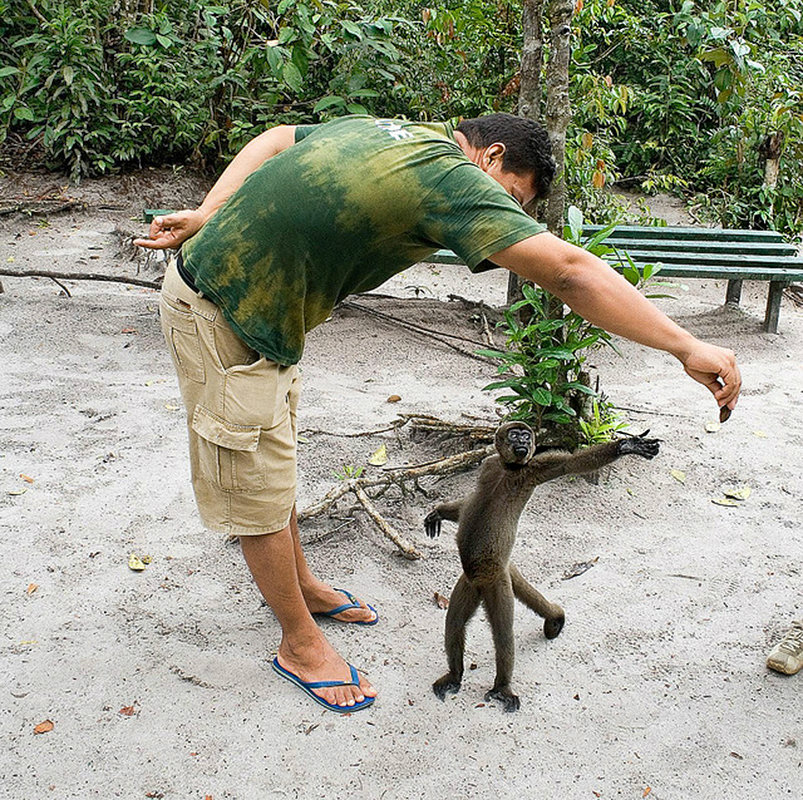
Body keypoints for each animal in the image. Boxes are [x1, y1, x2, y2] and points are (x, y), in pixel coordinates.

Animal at [425, 421, 660, 711]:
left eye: (527, 436)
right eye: (516, 434)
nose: (523, 442)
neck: (509, 469)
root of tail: (487, 577)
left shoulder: (533, 470)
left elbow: (569, 464)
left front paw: (626, 446)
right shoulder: (489, 464)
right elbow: (469, 500)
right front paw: (439, 512)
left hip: (497, 582)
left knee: (503, 635)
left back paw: (502, 687)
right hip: (469, 582)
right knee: (455, 624)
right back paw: (456, 674)